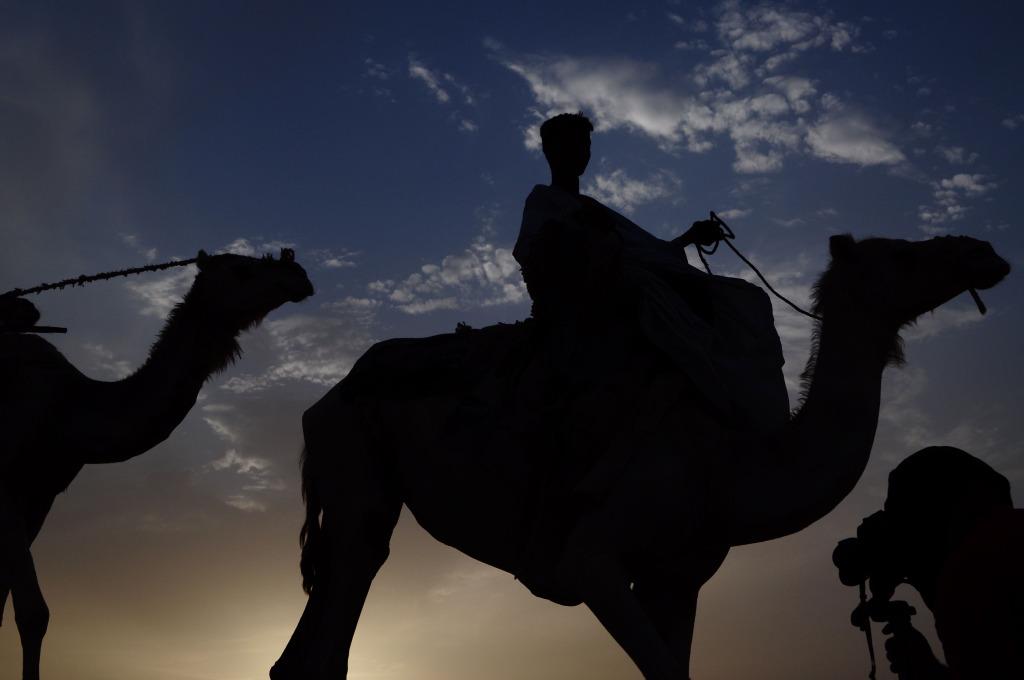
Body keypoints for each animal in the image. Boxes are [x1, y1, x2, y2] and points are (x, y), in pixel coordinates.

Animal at [0, 248, 311, 680]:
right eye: (241, 269)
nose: (297, 273)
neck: (70, 408)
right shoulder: (5, 482)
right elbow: (32, 614)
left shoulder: (41, 495)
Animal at [272, 233, 1007, 680]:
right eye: (903, 253)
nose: (984, 251)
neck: (730, 468)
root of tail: (327, 396)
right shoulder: (593, 558)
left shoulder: (677, 578)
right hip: (359, 459)